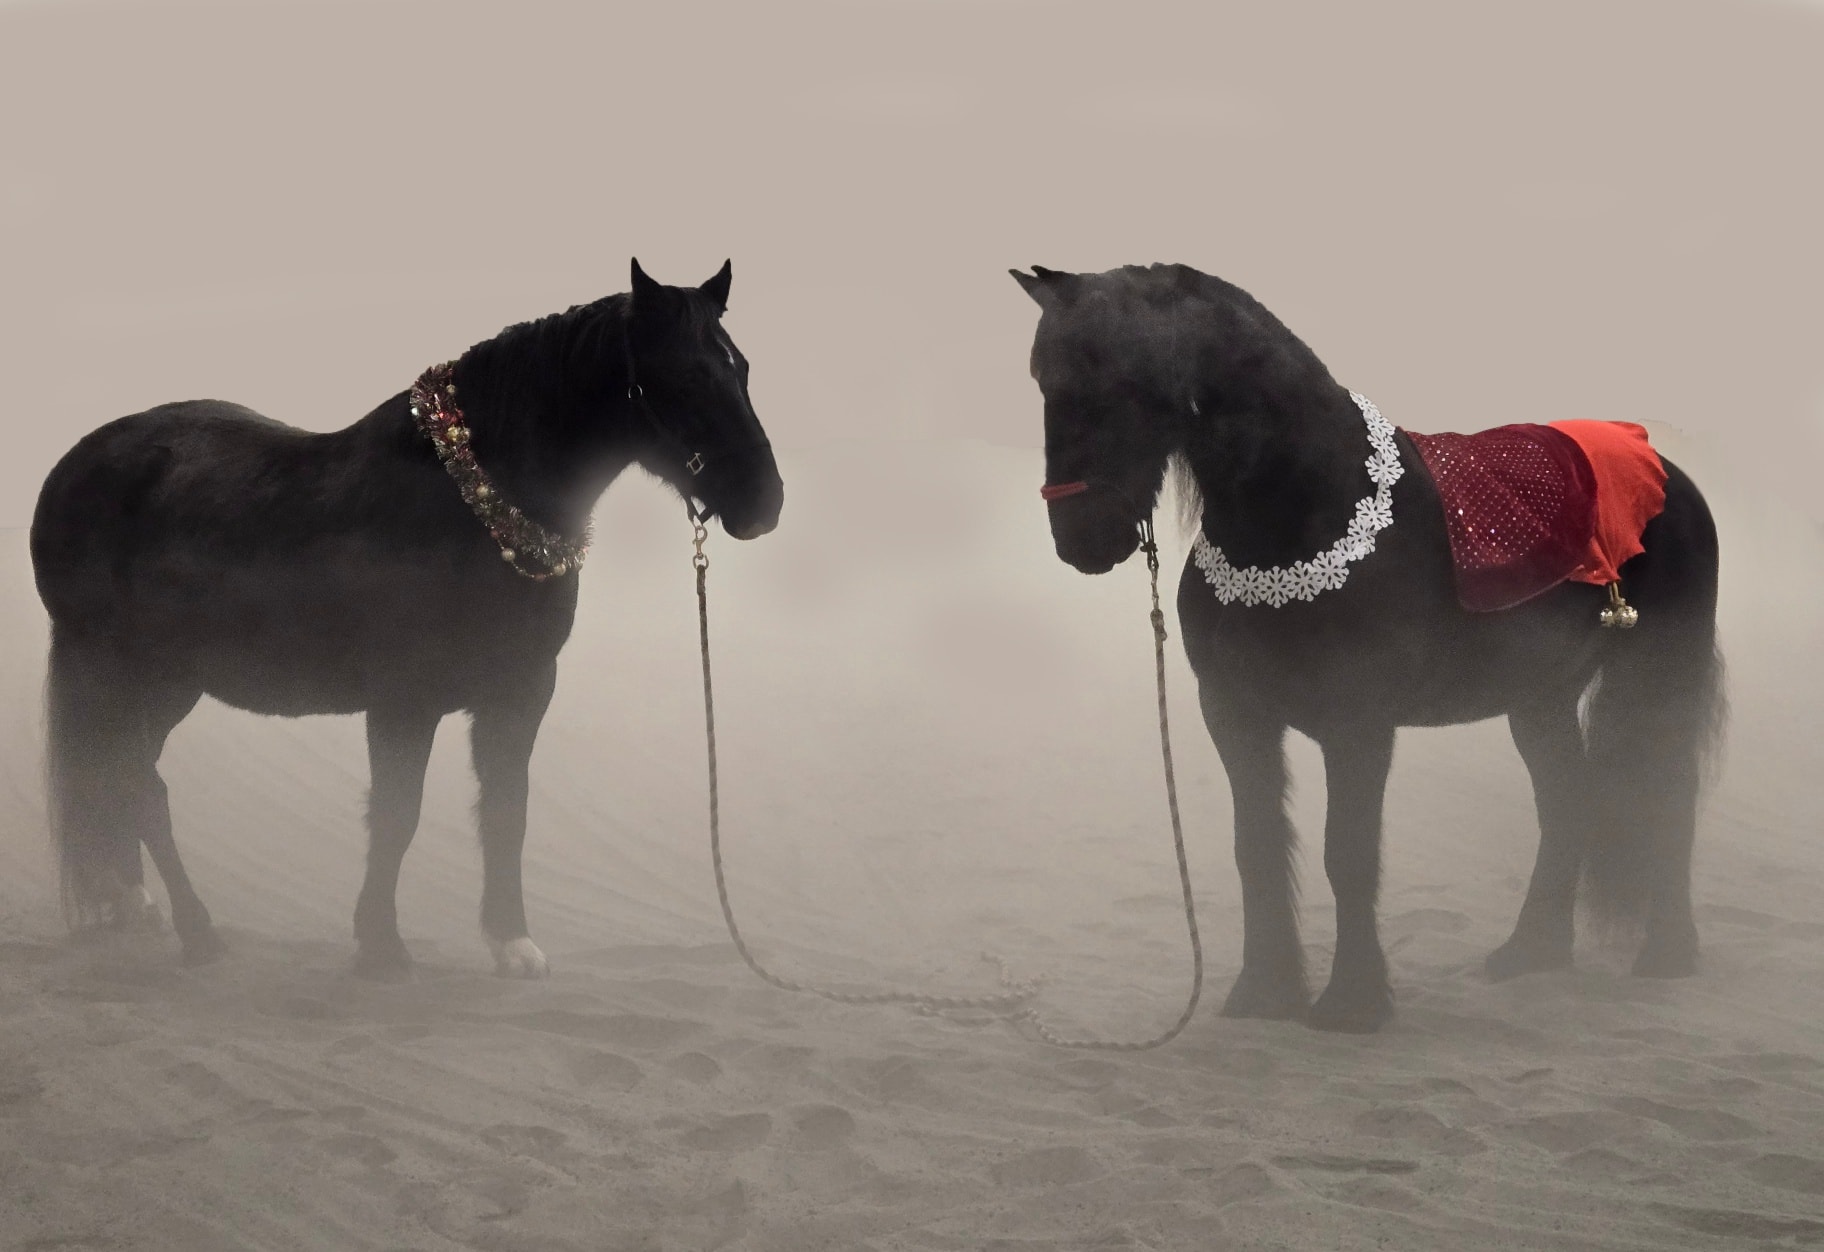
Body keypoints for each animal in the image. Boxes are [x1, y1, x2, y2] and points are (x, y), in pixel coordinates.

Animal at [30, 258, 783, 979]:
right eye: (683, 374)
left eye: (740, 366)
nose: (764, 502)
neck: (472, 508)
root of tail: (76, 465)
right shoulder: (403, 701)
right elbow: (398, 815)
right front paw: (382, 946)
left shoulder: (522, 693)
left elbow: (508, 811)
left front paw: (511, 942)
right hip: (118, 671)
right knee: (136, 782)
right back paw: (197, 931)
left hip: (166, 684)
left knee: (121, 773)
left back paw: (135, 904)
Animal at [1012, 263, 1725, 1033]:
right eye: (1045, 382)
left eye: (1121, 379)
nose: (1079, 538)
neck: (1309, 511)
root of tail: (1661, 466)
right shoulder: (1234, 715)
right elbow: (1256, 847)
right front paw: (1264, 990)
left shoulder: (1358, 725)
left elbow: (1346, 853)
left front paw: (1352, 1002)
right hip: (1541, 699)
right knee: (1568, 800)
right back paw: (1532, 950)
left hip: (1659, 680)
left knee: (1667, 794)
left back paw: (1667, 953)